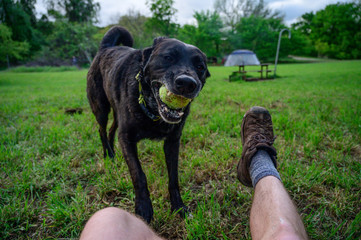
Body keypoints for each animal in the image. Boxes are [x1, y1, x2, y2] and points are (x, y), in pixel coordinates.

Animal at [86, 26, 210, 223]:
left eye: (200, 67)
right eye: (168, 57)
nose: (187, 83)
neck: (153, 111)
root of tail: (105, 48)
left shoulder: (173, 142)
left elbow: (173, 177)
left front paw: (179, 206)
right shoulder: (127, 138)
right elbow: (139, 175)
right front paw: (143, 208)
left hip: (116, 113)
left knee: (112, 129)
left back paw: (113, 154)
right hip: (100, 108)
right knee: (102, 130)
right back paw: (108, 155)